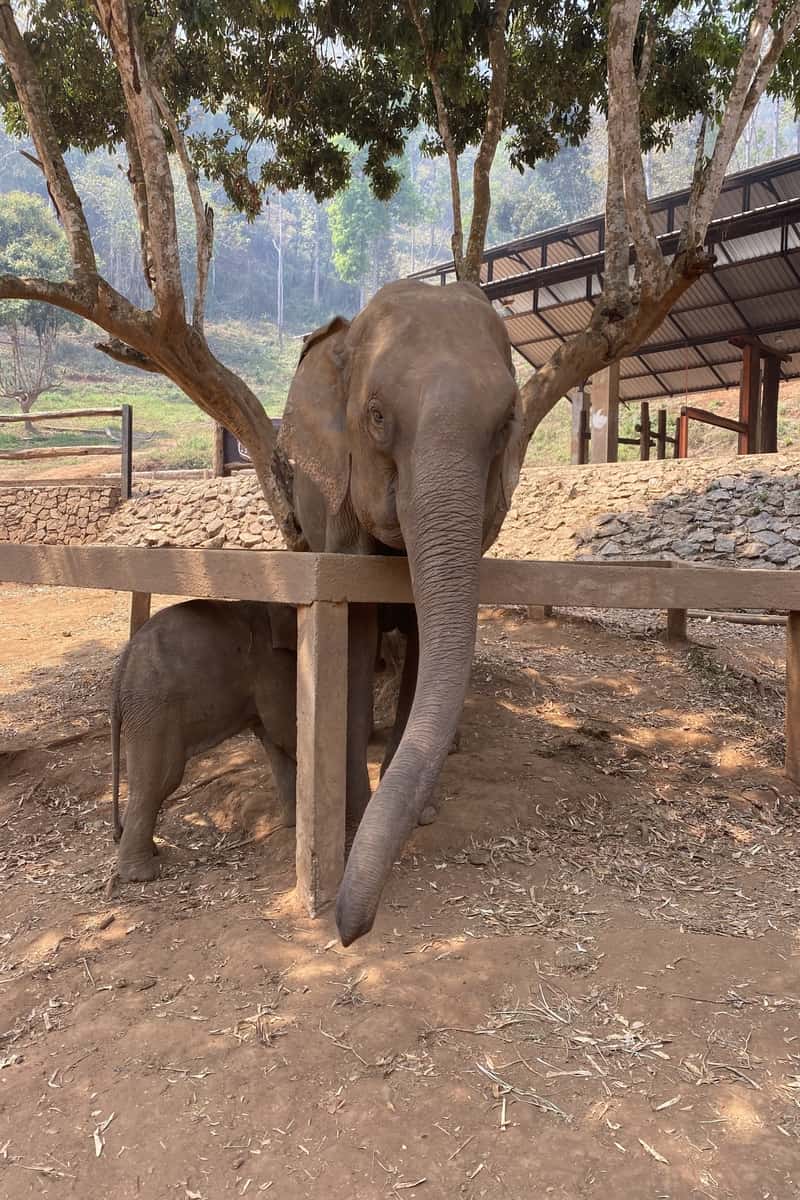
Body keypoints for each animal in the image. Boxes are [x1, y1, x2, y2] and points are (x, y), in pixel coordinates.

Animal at [110, 600, 298, 883]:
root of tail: (122, 667)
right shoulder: (271, 665)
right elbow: (286, 728)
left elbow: (275, 740)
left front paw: (293, 824)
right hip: (154, 709)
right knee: (158, 782)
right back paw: (141, 874)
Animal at [280, 276, 520, 940]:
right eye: (377, 416)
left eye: (507, 423)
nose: (347, 930)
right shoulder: (338, 507)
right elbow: (356, 633)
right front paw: (357, 811)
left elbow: (420, 636)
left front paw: (420, 809)